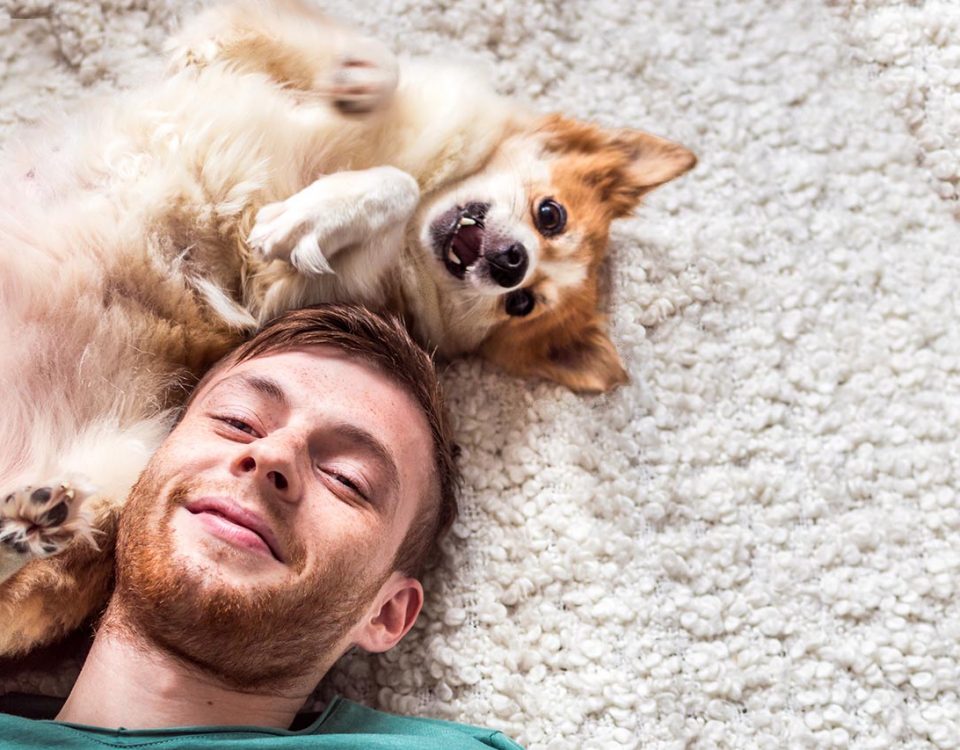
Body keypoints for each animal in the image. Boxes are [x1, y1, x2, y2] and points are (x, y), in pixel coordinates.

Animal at [0, 0, 692, 656]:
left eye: (522, 305)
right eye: (551, 215)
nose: (511, 266)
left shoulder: (292, 293)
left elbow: (391, 189)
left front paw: (314, 213)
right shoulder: (239, 40)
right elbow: (378, 70)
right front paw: (356, 83)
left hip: (127, 468)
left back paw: (36, 520)